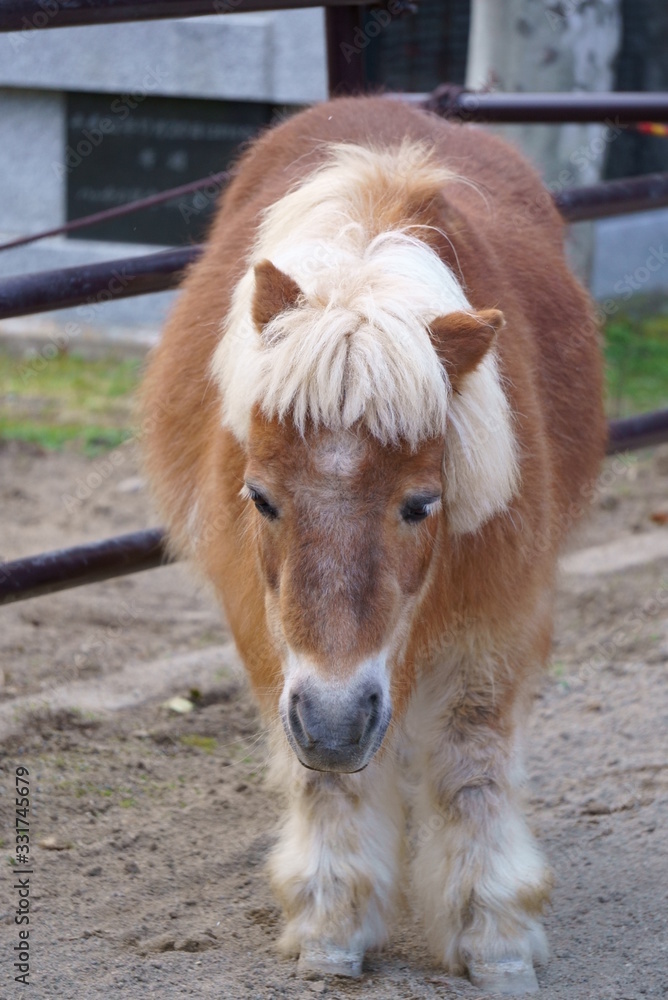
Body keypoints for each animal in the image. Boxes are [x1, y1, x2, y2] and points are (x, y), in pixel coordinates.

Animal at [140, 96, 606, 994]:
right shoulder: (275, 641)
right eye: (261, 497)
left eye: (421, 505)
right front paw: (332, 923)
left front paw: (494, 933)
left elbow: (470, 762)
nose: (334, 723)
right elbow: (327, 784)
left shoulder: (497, 619)